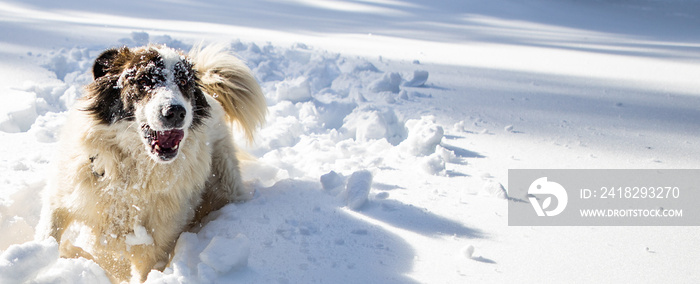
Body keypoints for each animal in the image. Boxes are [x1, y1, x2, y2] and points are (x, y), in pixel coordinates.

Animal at [34, 43, 268, 282]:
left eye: (184, 83)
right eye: (144, 80)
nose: (176, 111)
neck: (133, 172)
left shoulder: (158, 243)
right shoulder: (60, 201)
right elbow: (48, 237)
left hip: (225, 184)